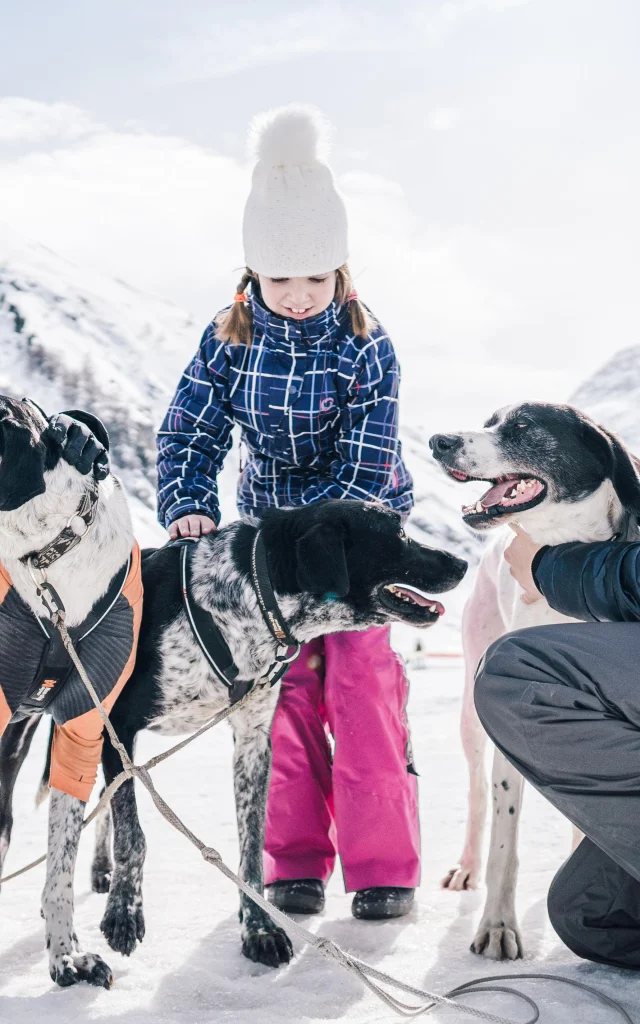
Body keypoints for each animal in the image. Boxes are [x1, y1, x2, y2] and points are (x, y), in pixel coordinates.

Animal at [86, 503, 464, 974]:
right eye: (397, 533)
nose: (462, 563)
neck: (253, 593)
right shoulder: (116, 724)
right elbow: (132, 833)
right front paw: (124, 913)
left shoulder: (253, 740)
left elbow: (252, 847)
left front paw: (260, 929)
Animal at [425, 401, 638, 958]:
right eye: (488, 421)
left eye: (522, 426)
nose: (438, 441)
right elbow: (505, 839)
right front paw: (498, 925)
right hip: (472, 713)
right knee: (478, 797)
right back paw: (468, 866)